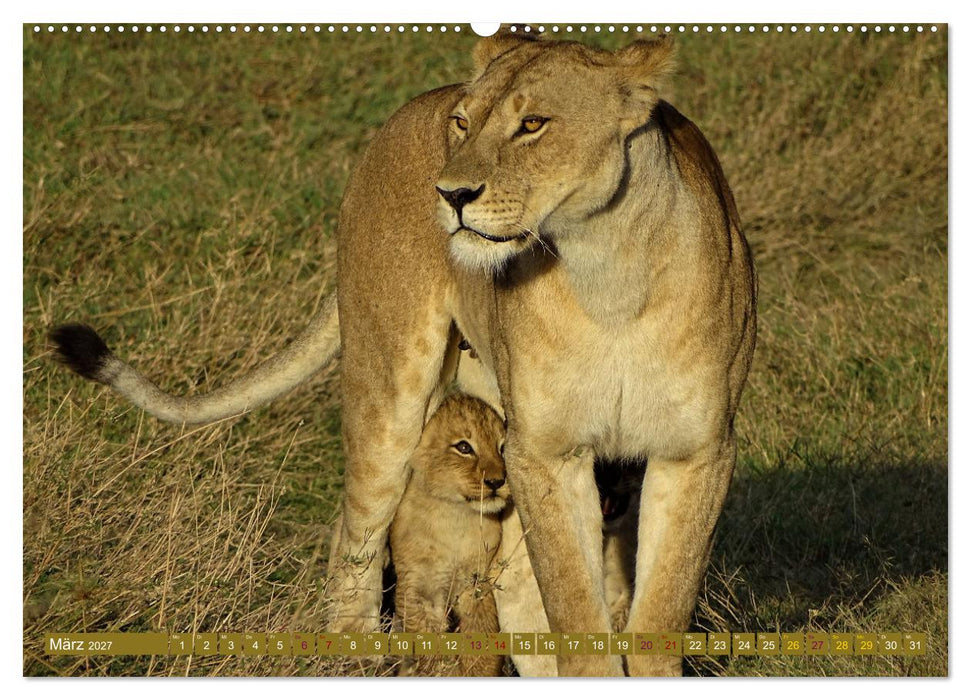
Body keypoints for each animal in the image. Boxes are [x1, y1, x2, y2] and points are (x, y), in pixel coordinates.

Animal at [389, 392, 508, 677]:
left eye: (502, 448)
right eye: (464, 448)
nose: (497, 482)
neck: (455, 517)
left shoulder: (476, 582)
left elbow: (482, 634)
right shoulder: (417, 587)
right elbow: (429, 643)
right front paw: (444, 672)